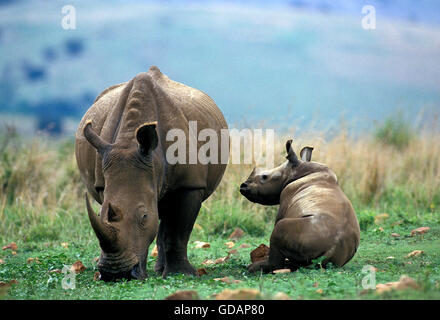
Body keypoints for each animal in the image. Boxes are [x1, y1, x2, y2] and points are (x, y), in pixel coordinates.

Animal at [74, 66, 229, 282]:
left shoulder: (189, 184)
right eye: (100, 214)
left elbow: (177, 232)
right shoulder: (104, 182)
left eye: (144, 216)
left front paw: (181, 274)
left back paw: (162, 270)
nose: (116, 273)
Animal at [241, 140, 360, 272]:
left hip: (306, 233)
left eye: (264, 177)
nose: (243, 186)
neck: (298, 170)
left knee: (280, 229)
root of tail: (332, 248)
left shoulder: (285, 200)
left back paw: (253, 268)